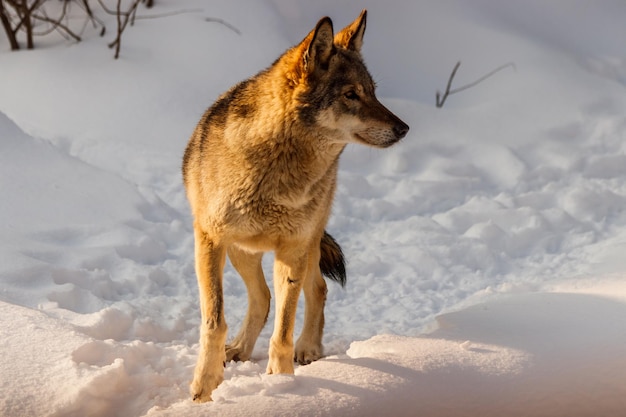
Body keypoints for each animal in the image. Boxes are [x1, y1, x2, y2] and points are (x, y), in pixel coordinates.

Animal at [179, 9, 410, 400]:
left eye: (373, 93)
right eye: (351, 94)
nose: (404, 128)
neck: (276, 169)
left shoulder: (291, 248)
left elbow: (283, 329)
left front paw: (280, 383)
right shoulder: (209, 241)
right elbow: (214, 322)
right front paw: (204, 388)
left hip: (305, 243)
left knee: (314, 289)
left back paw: (308, 349)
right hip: (241, 250)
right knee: (263, 298)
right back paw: (238, 349)